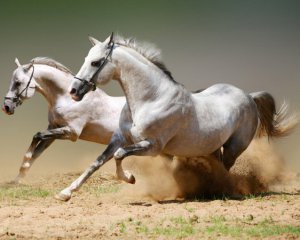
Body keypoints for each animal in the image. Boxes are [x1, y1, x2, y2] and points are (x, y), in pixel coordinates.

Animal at [2, 57, 131, 184]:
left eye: (18, 82)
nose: (6, 107)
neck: (67, 99)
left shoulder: (72, 132)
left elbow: (37, 136)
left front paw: (26, 160)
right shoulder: (53, 128)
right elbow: (37, 151)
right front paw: (18, 179)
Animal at [54, 34, 298, 201]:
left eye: (96, 62)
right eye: (87, 58)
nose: (74, 91)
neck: (151, 99)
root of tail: (248, 96)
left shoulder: (153, 147)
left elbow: (120, 155)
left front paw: (130, 178)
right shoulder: (119, 139)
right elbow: (96, 163)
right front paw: (65, 193)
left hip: (234, 147)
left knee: (225, 170)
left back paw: (219, 191)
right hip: (212, 147)